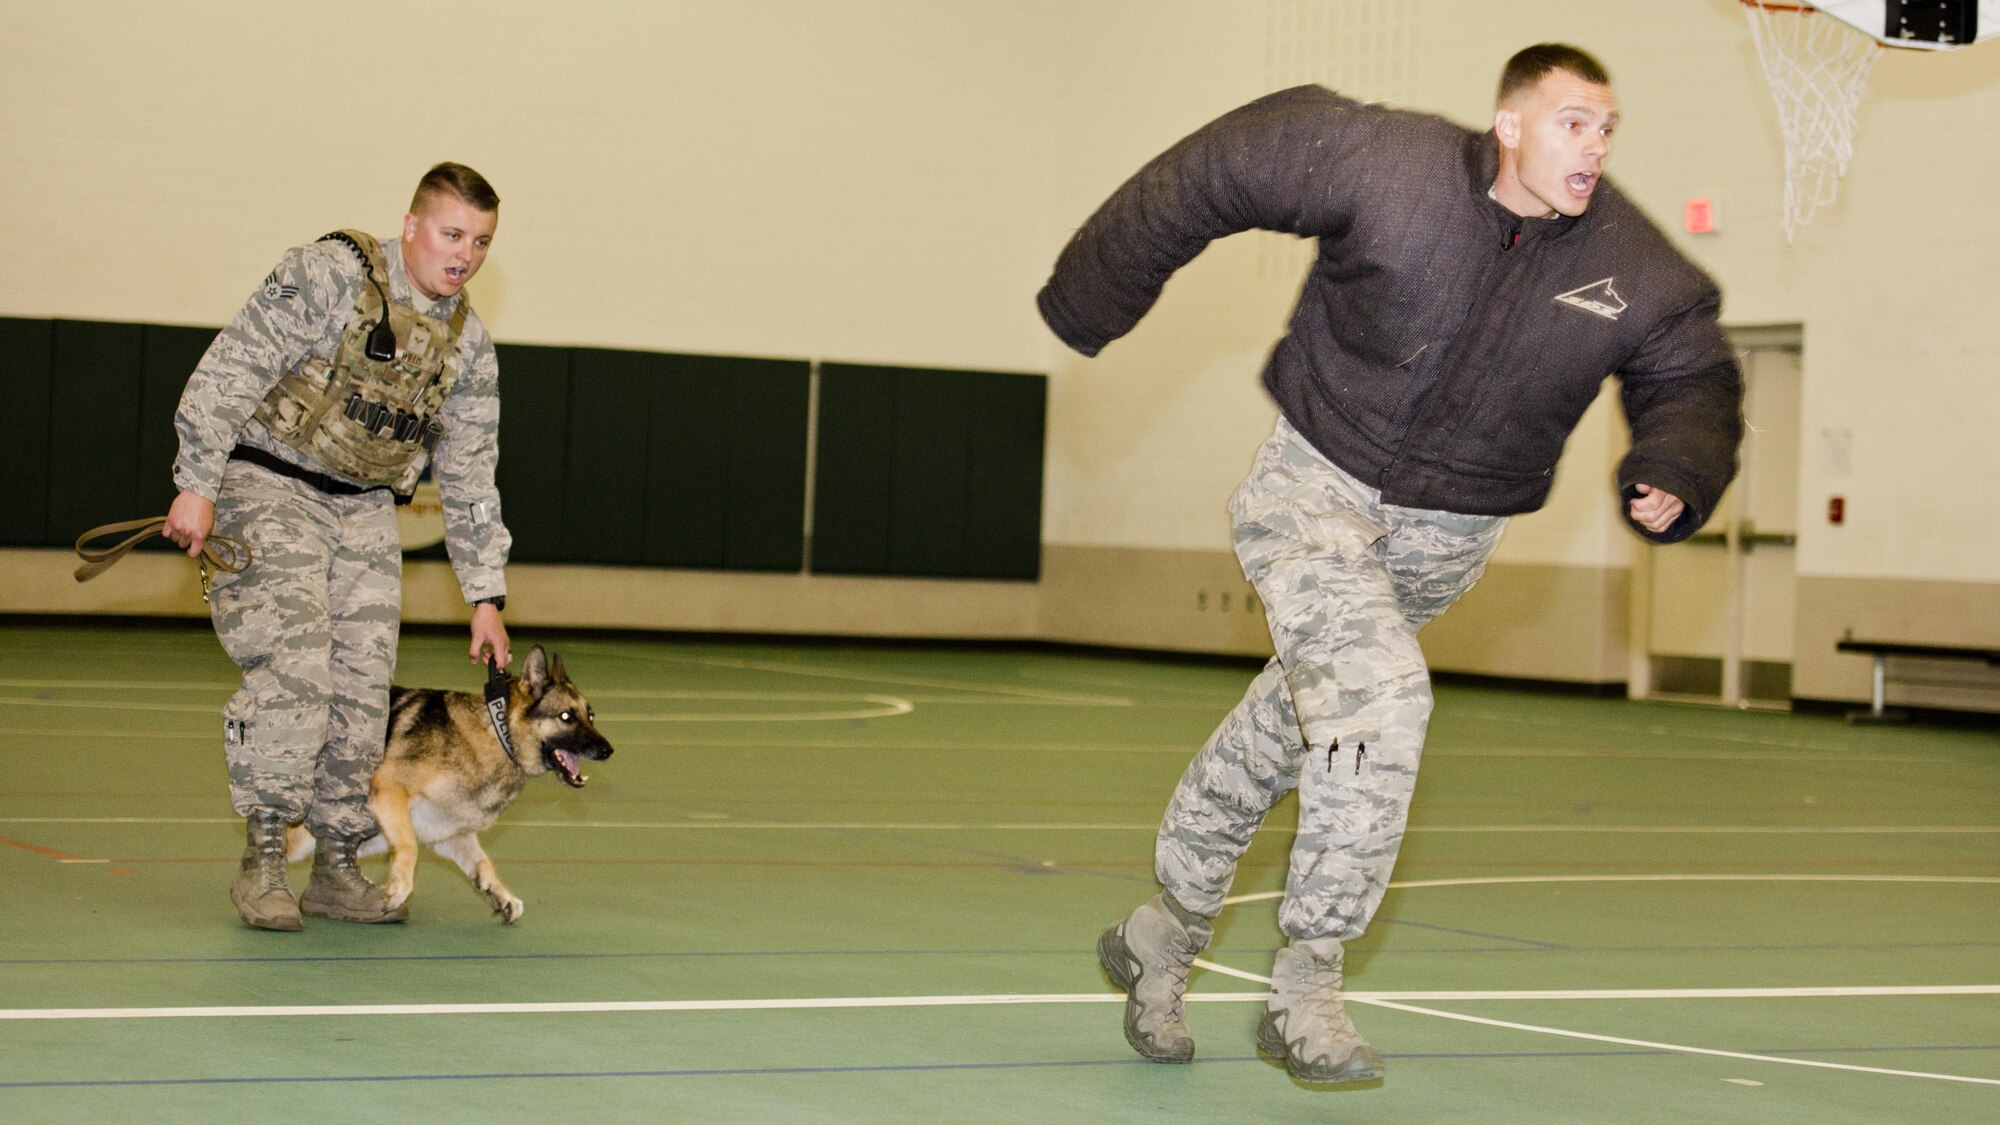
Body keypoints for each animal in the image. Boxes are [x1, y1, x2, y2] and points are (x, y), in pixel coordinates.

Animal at [286, 640, 604, 920]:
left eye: (590, 716)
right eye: (566, 716)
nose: (607, 750)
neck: (498, 736)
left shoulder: (448, 834)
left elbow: (483, 862)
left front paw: (500, 895)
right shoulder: (388, 790)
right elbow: (409, 847)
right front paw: (398, 888)